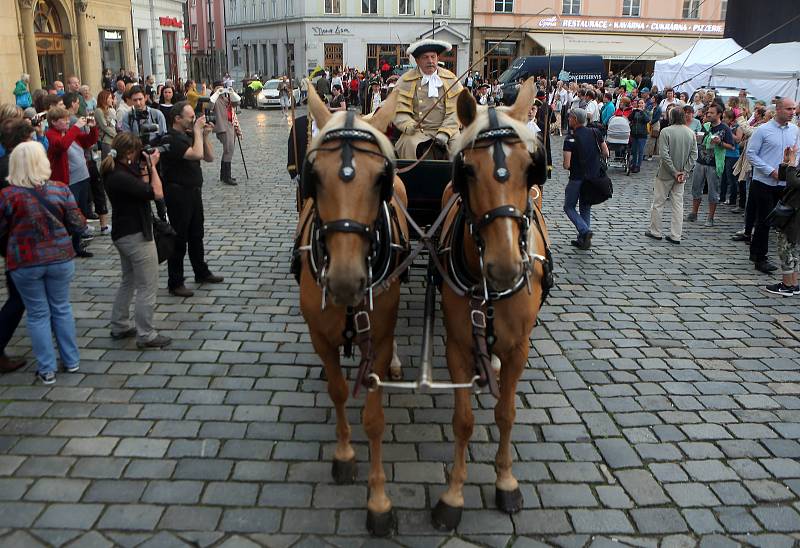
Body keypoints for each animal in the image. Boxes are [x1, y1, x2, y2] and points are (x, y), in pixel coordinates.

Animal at [290, 86, 410, 536]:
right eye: (315, 177)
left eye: (380, 179)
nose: (344, 281)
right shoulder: (320, 335)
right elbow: (340, 391)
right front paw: (343, 456)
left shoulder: (378, 335)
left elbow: (374, 418)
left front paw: (378, 501)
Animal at [432, 79, 552, 528]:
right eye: (467, 170)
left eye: (530, 166)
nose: (504, 266)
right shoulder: (457, 345)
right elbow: (463, 421)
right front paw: (453, 495)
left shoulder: (519, 348)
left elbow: (506, 413)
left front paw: (506, 482)